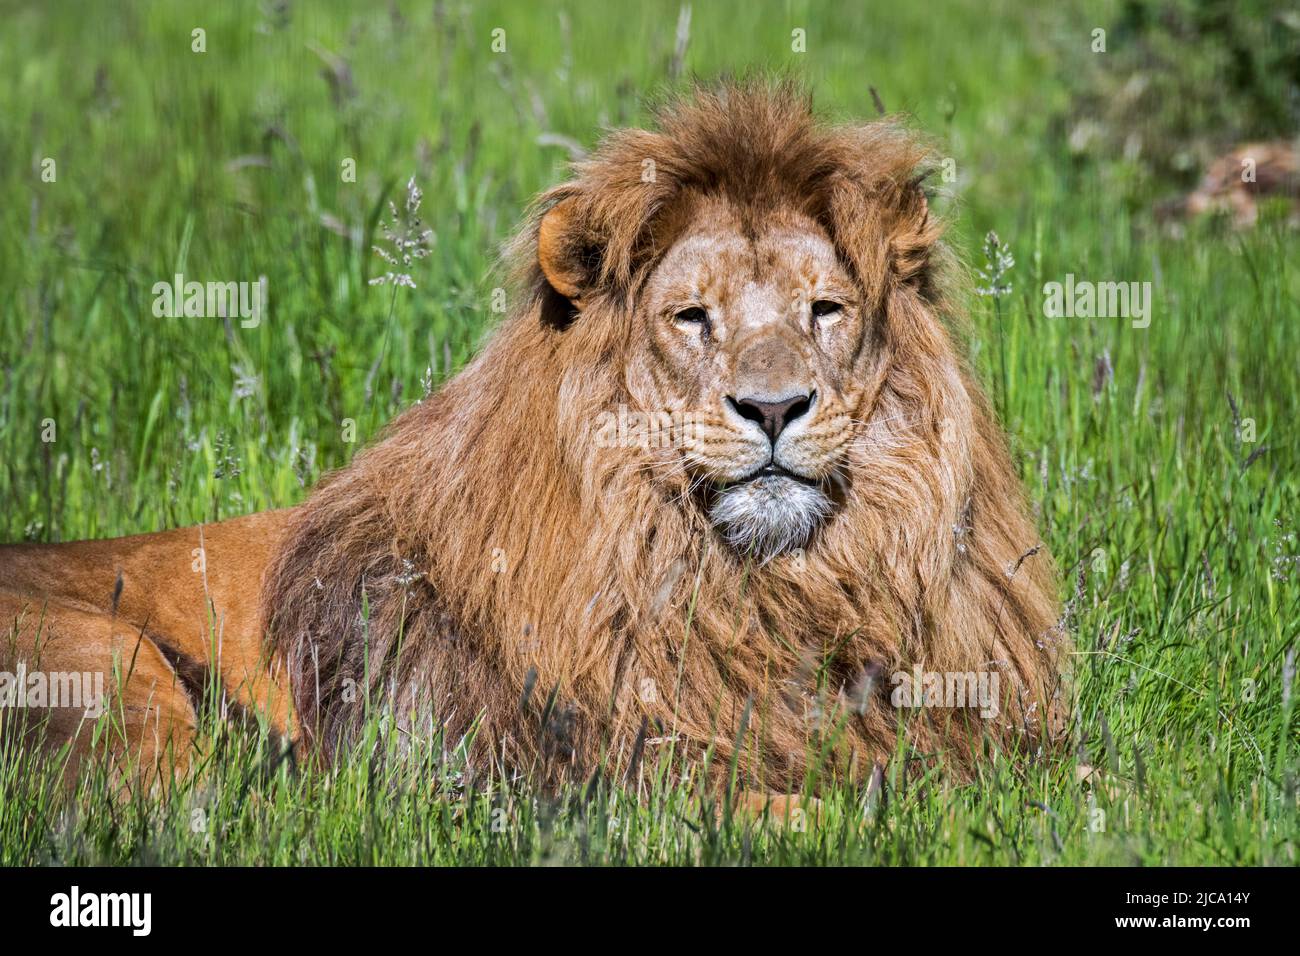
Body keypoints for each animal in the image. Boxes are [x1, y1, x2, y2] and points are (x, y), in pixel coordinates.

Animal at [0, 82, 1066, 806]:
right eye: (691, 316)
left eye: (826, 309)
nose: (774, 408)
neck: (764, 595)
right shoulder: (594, 782)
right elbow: (803, 810)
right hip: (117, 671)